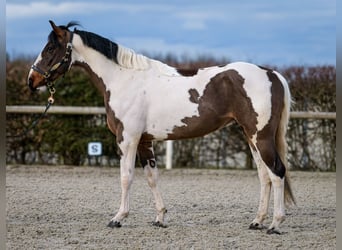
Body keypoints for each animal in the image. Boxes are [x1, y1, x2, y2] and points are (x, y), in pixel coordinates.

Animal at [27, 20, 294, 233]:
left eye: (50, 48)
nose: (32, 80)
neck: (123, 79)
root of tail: (272, 74)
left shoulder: (128, 138)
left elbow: (126, 176)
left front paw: (118, 218)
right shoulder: (145, 141)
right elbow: (151, 177)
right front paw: (159, 218)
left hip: (261, 137)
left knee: (277, 172)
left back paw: (275, 224)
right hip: (251, 136)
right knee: (264, 176)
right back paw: (257, 221)